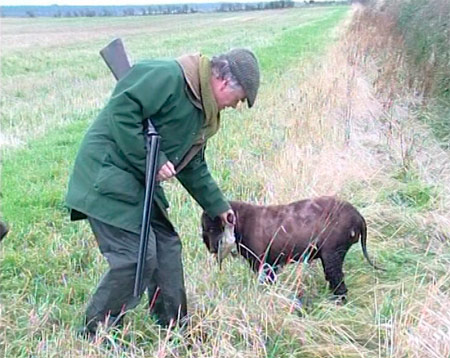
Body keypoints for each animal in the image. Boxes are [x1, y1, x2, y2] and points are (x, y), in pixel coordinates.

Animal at [200, 197, 380, 298]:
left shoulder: (263, 264)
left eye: (213, 229)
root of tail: (358, 216)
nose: (212, 248)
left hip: (332, 255)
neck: (241, 222)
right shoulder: (271, 265)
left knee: (339, 283)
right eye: (206, 229)